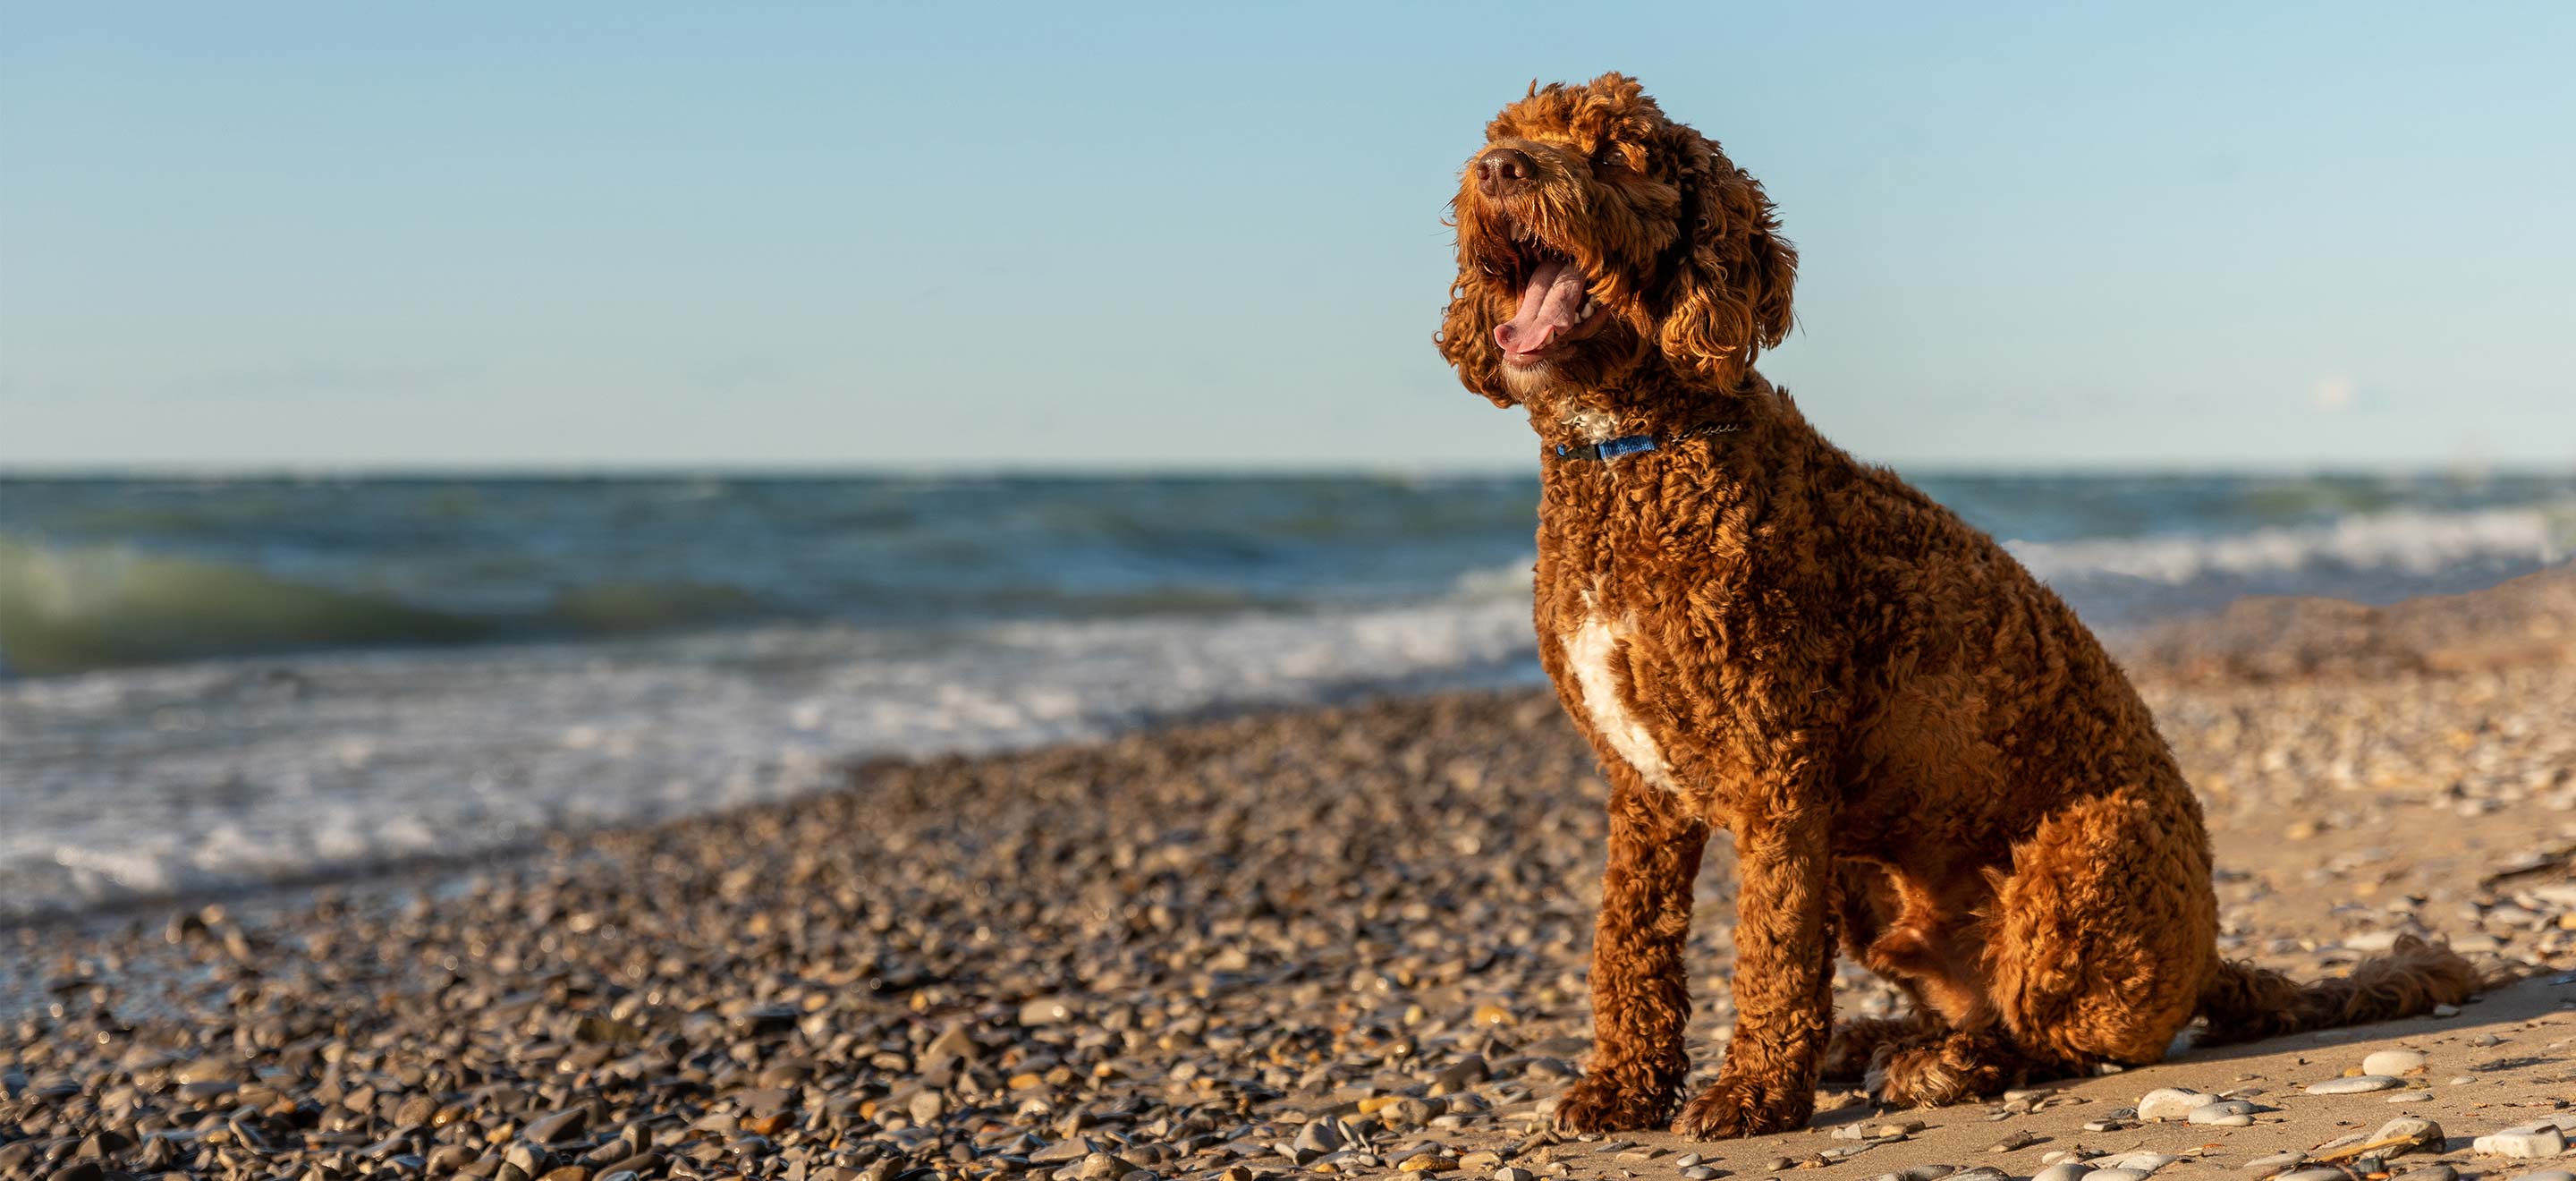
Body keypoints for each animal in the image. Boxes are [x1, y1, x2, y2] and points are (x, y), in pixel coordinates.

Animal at [1432, 71, 2472, 1134]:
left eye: (1611, 153)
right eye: (1506, 135)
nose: (1499, 170)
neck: (1635, 451)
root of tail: (2209, 962)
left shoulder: (1777, 769)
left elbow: (1771, 947)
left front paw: (1754, 1091)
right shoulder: (1642, 788)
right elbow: (1628, 942)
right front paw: (1623, 1085)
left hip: (2081, 856)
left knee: (2056, 1036)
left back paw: (1945, 1065)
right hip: (1868, 881)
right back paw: (1881, 1039)